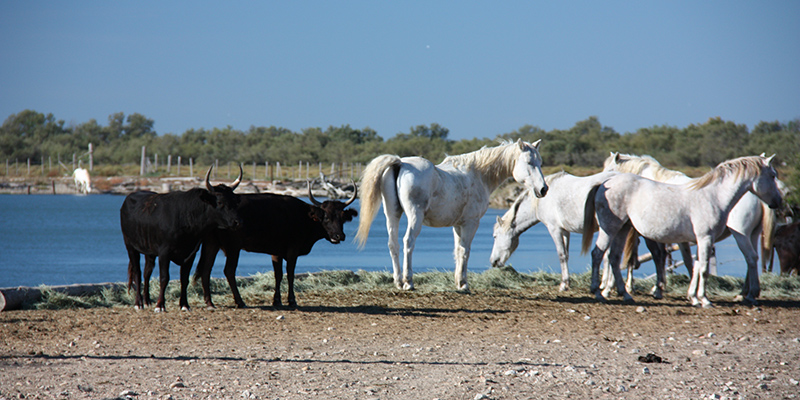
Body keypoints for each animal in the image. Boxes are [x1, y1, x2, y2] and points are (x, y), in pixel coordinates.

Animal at [120, 167, 242, 310]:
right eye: (220, 202)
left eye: (235, 202)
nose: (237, 222)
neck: (186, 216)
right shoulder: (164, 252)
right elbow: (164, 278)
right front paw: (160, 305)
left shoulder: (190, 253)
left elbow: (184, 279)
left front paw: (184, 304)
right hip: (130, 246)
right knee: (137, 273)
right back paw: (138, 303)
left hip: (149, 251)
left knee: (147, 272)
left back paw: (147, 301)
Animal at [192, 183, 358, 308]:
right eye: (326, 217)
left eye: (342, 218)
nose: (339, 236)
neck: (303, 216)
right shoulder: (292, 250)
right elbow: (290, 274)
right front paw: (292, 300)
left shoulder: (276, 252)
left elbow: (278, 275)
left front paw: (277, 300)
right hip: (233, 248)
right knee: (229, 271)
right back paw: (240, 302)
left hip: (212, 244)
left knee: (206, 269)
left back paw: (209, 302)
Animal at [358, 139, 552, 290]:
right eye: (529, 162)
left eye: (540, 162)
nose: (543, 189)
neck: (479, 175)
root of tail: (400, 163)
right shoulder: (471, 223)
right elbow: (465, 251)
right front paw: (464, 284)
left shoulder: (457, 225)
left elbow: (458, 250)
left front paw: (458, 282)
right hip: (414, 216)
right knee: (408, 242)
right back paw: (408, 282)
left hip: (392, 214)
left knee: (393, 244)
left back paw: (398, 282)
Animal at [580, 155, 780, 306]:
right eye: (772, 175)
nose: (777, 202)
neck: (713, 196)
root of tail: (605, 183)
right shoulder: (705, 238)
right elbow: (702, 268)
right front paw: (704, 300)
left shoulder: (701, 240)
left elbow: (696, 266)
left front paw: (694, 297)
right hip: (609, 229)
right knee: (598, 254)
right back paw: (597, 292)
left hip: (622, 229)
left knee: (613, 258)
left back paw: (625, 295)